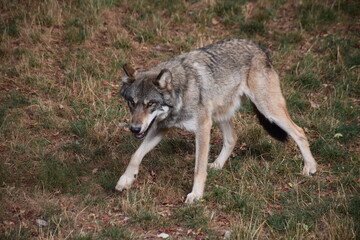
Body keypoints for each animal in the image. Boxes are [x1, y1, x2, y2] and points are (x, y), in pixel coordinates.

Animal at [114, 38, 316, 203]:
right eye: (132, 103)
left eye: (151, 104)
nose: (134, 128)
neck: (181, 92)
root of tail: (260, 48)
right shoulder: (160, 128)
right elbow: (135, 155)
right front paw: (125, 180)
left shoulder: (202, 128)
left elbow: (198, 168)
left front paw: (196, 195)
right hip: (220, 115)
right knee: (233, 137)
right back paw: (218, 165)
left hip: (268, 110)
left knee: (299, 131)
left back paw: (310, 167)